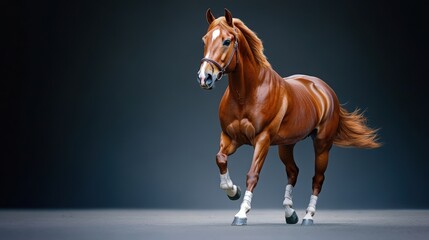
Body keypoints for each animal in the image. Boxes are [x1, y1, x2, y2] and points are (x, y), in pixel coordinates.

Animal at [196, 8, 380, 226]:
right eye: (205, 39)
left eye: (226, 41)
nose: (204, 77)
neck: (247, 93)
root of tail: (324, 89)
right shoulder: (230, 137)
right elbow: (220, 159)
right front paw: (233, 191)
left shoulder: (263, 140)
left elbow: (252, 175)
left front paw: (241, 213)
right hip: (286, 145)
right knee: (293, 172)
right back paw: (289, 213)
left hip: (322, 144)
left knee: (318, 178)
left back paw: (308, 216)